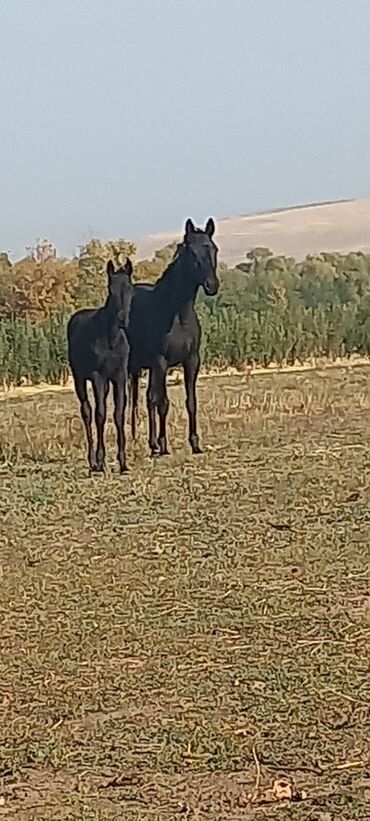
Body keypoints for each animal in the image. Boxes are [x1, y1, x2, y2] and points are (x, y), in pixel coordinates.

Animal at [67, 256, 133, 474]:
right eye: (110, 289)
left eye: (130, 288)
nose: (122, 319)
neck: (111, 339)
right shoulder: (98, 376)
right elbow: (100, 414)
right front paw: (101, 460)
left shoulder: (119, 376)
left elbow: (119, 414)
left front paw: (123, 462)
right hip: (79, 379)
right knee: (87, 412)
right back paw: (92, 461)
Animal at [129, 218, 218, 458]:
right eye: (193, 253)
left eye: (214, 249)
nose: (212, 286)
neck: (178, 316)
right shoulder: (161, 362)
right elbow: (163, 402)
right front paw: (164, 446)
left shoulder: (191, 361)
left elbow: (191, 402)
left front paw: (195, 444)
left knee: (147, 399)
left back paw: (151, 444)